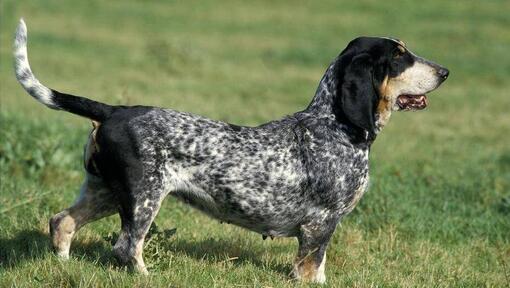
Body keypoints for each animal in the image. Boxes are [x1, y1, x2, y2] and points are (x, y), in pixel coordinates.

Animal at [12, 18, 446, 284]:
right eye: (400, 56)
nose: (445, 72)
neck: (334, 124)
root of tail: (114, 110)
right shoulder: (320, 225)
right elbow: (309, 269)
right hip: (143, 198)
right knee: (126, 247)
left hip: (105, 191)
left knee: (62, 222)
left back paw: (62, 264)